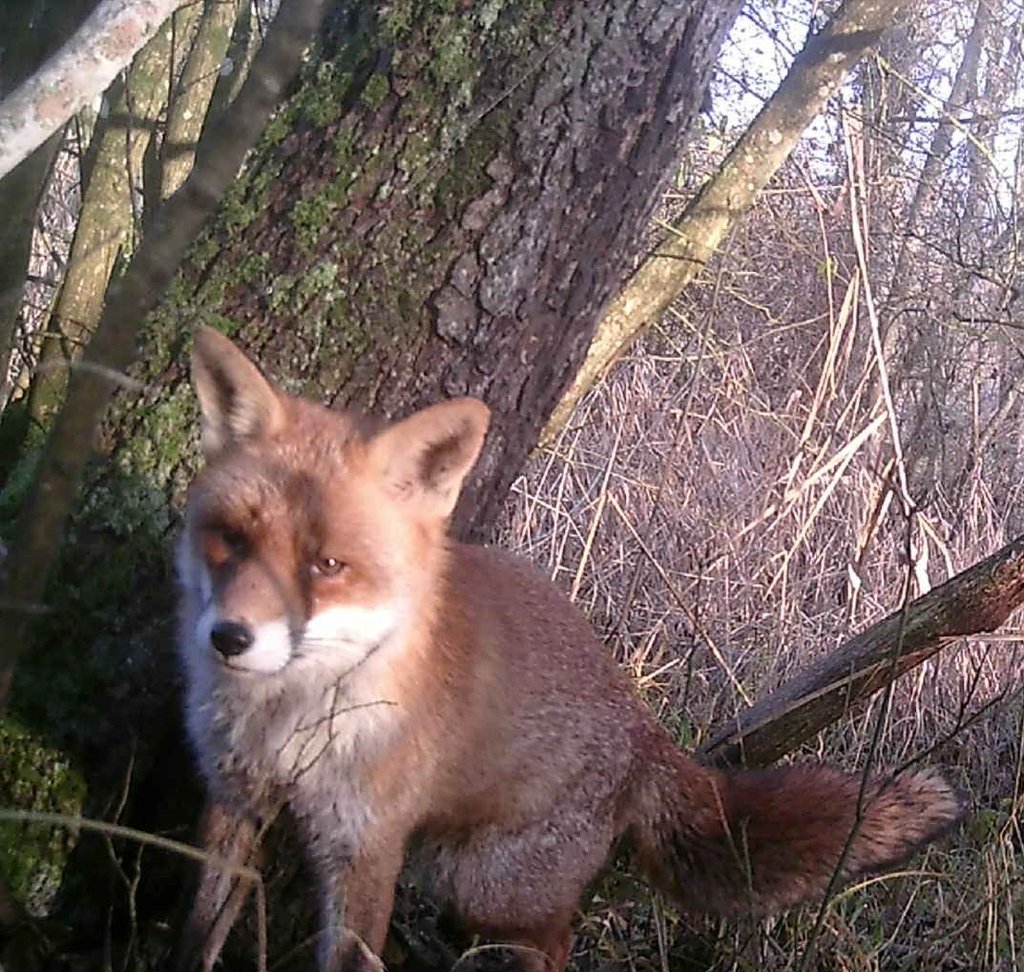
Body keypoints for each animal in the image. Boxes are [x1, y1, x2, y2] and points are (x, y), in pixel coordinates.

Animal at [175, 325, 962, 972]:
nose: (230, 638)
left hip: (486, 886)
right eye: (231, 539)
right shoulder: (233, 801)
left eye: (327, 565)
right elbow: (199, 933)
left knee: (554, 943)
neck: (288, 723)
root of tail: (644, 730)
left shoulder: (364, 847)